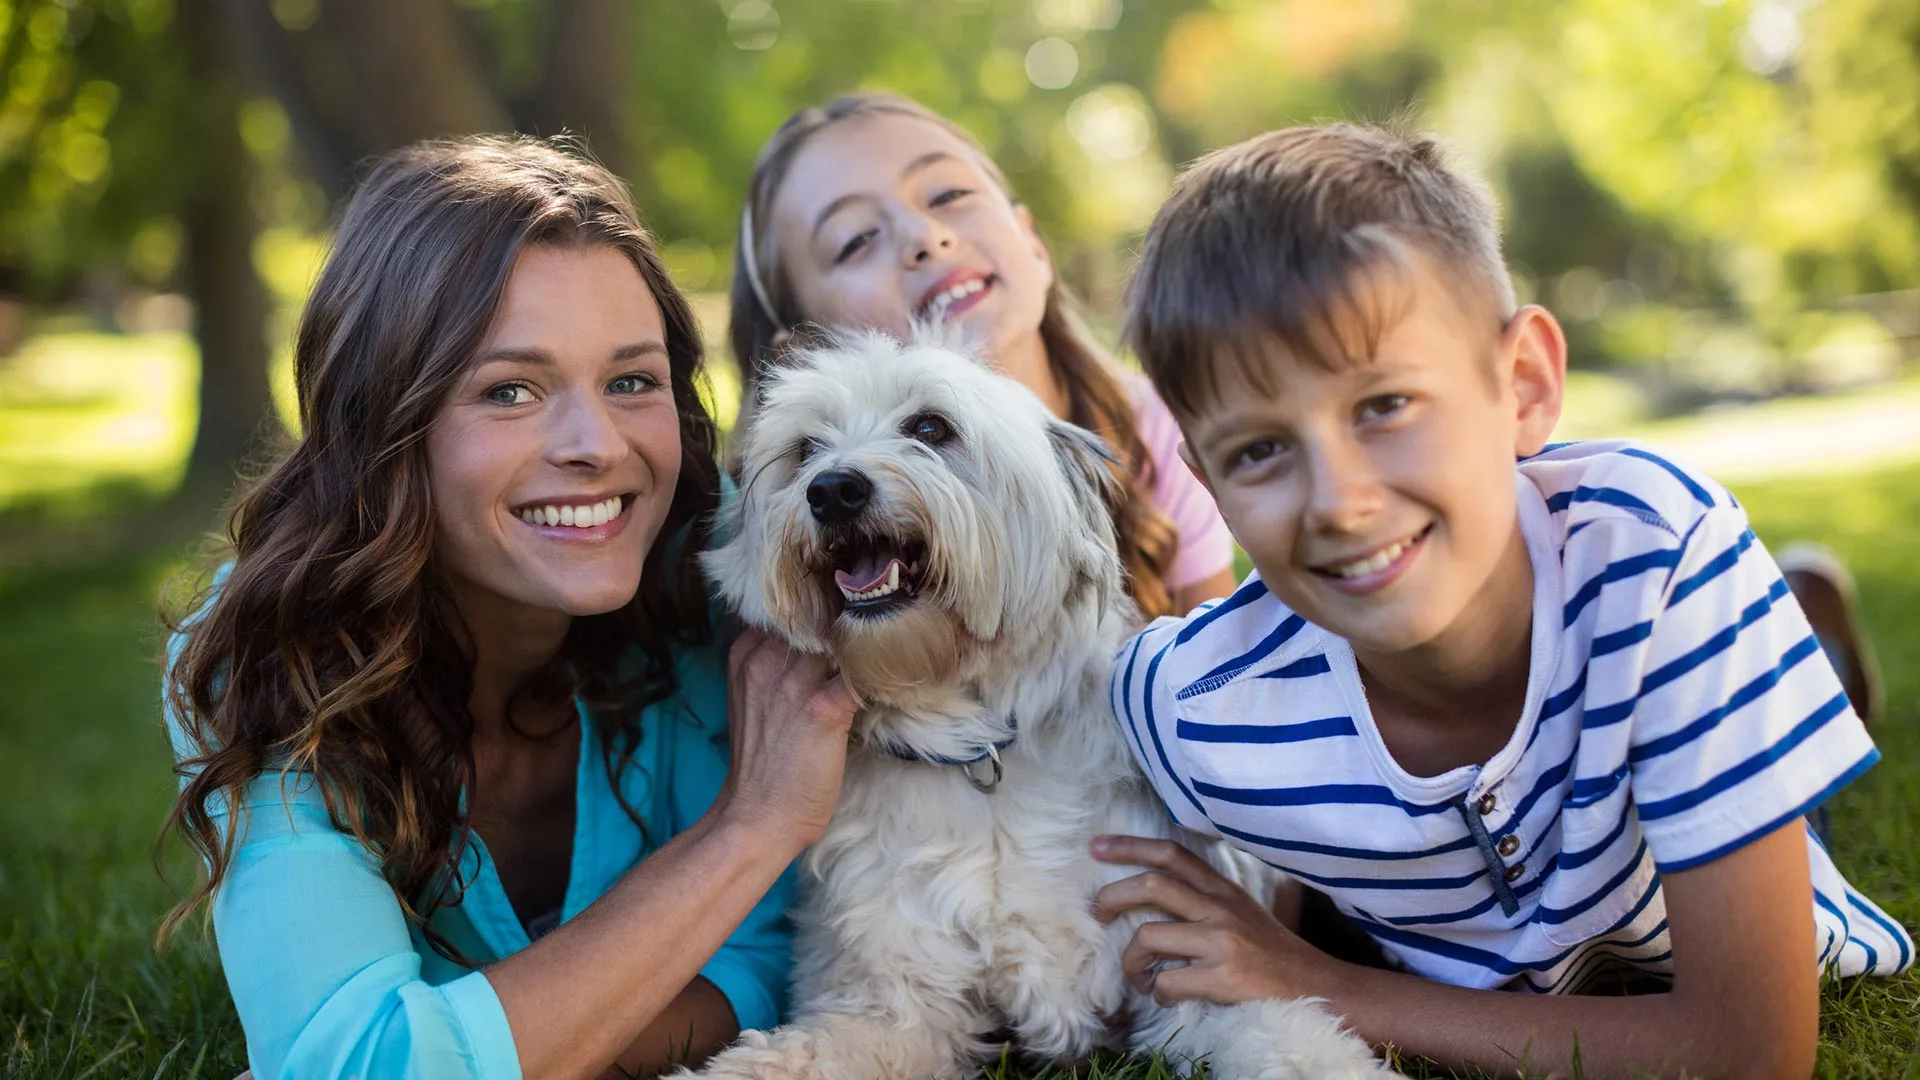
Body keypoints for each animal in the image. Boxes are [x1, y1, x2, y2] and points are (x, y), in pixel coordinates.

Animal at [691, 330, 1397, 1076]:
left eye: (930, 428)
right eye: (805, 450)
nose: (832, 489)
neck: (975, 752)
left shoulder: (1187, 962)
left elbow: (1290, 1036)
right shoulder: (895, 1008)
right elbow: (795, 1055)